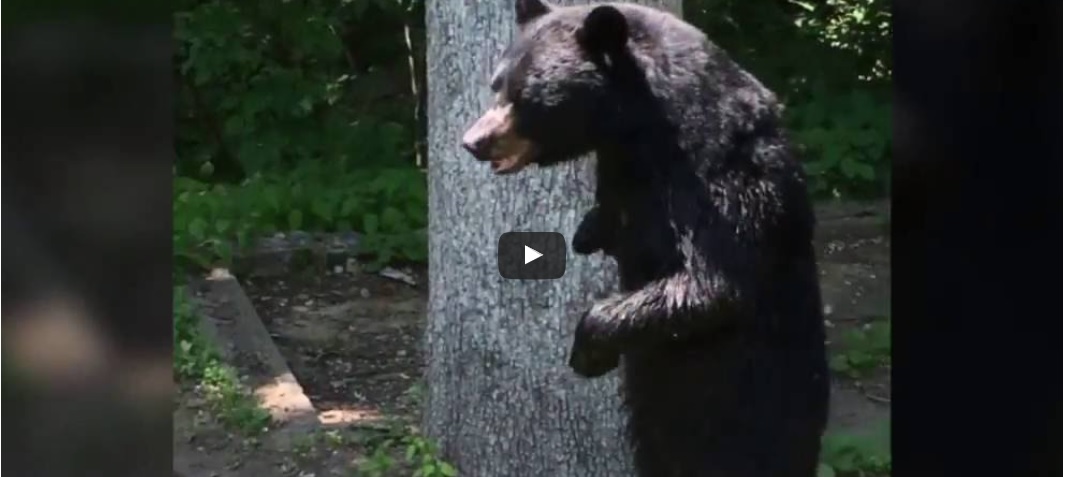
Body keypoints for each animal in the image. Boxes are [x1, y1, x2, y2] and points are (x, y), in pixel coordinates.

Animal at [460, 1, 830, 474]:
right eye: (497, 83)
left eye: (526, 96)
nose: (473, 141)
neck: (641, 130)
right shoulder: (621, 168)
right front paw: (591, 231)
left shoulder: (718, 174)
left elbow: (714, 282)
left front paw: (588, 351)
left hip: (751, 419)